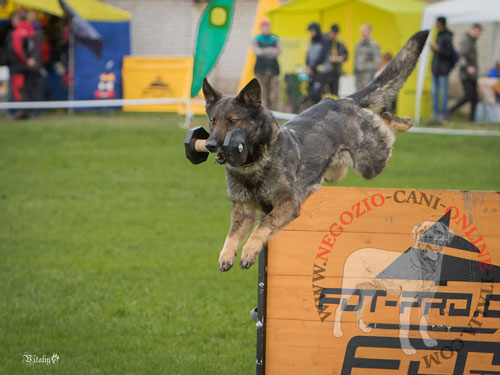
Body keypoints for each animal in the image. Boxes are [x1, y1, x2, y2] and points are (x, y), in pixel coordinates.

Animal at [201, 29, 428, 270]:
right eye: (213, 121)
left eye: (232, 121)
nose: (209, 145)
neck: (254, 164)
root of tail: (342, 100)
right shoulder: (243, 211)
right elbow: (232, 234)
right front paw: (226, 255)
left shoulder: (288, 204)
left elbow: (263, 226)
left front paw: (249, 251)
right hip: (334, 173)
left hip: (372, 163)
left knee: (384, 121)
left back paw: (402, 122)